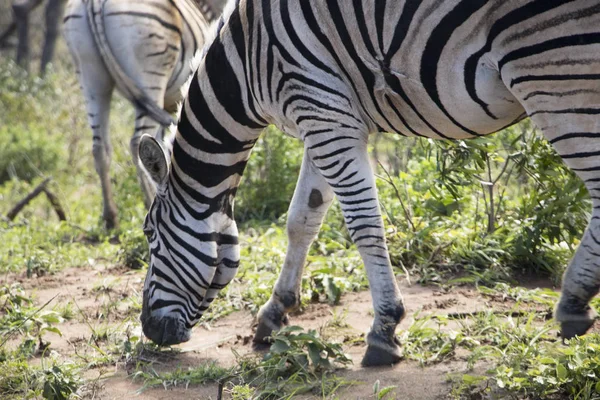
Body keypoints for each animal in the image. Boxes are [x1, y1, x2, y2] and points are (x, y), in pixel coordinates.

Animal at [62, 0, 225, 228]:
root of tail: (94, 2)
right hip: (151, 74)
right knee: (136, 142)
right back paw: (147, 202)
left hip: (90, 77)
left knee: (99, 147)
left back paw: (111, 217)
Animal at [138, 0, 600, 366]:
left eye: (150, 237)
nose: (148, 330)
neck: (246, 60)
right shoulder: (323, 115)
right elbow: (302, 219)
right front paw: (274, 313)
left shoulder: (322, 111)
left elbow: (363, 225)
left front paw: (384, 330)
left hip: (553, 71)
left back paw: (574, 299)